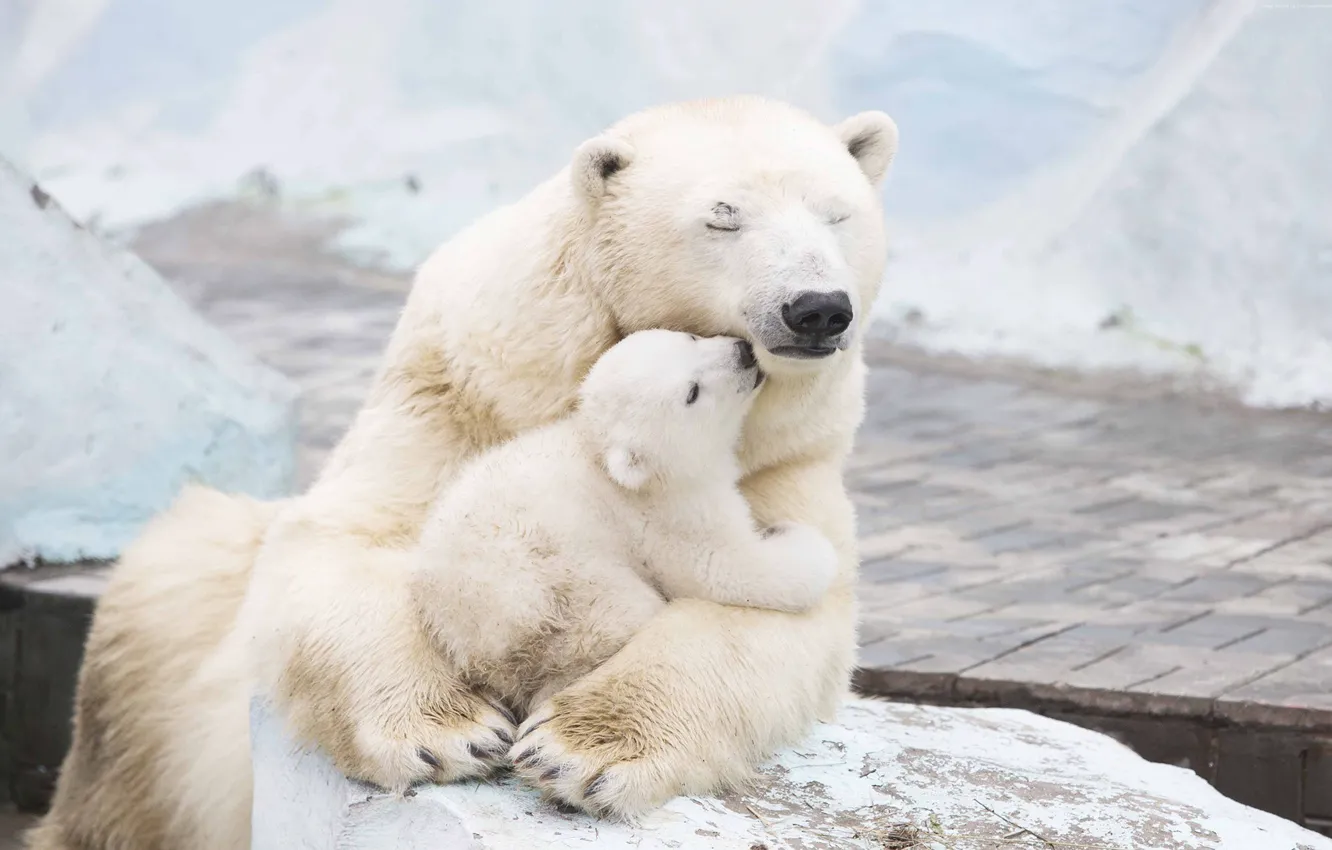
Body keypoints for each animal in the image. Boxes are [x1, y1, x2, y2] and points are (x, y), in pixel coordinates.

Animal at [412, 329, 839, 738]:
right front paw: (795, 536)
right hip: (564, 593)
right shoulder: (669, 515)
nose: (744, 353)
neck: (606, 461)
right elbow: (727, 570)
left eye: (690, 338)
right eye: (692, 393)